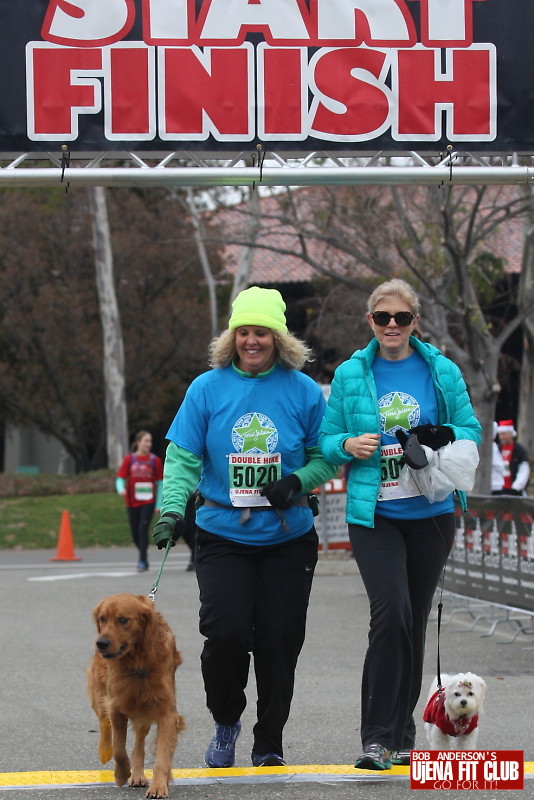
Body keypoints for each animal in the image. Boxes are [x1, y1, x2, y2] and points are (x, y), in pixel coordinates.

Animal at [87, 593, 185, 799]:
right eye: (102, 619)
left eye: (123, 620)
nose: (101, 643)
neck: (136, 662)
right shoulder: (116, 706)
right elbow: (118, 748)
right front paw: (121, 773)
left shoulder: (166, 711)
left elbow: (162, 756)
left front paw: (159, 786)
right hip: (100, 691)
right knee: (104, 722)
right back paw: (104, 752)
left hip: (144, 710)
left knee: (138, 744)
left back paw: (138, 775)